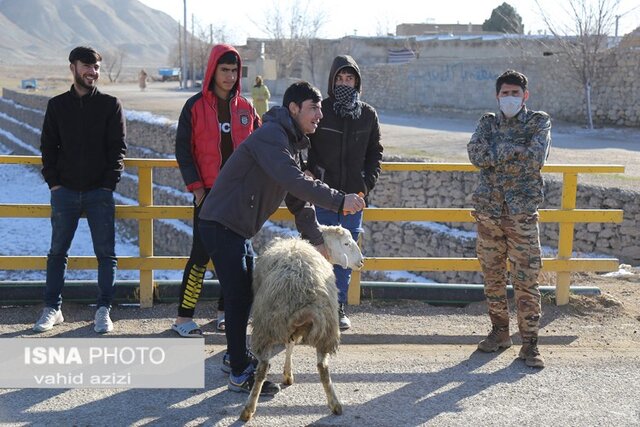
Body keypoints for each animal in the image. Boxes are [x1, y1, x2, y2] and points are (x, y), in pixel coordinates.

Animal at [239, 226, 362, 422]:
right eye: (346, 243)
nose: (362, 261)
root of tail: (305, 291)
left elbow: (289, 346)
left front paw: (287, 375)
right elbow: (290, 346)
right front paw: (288, 375)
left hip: (267, 325)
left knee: (262, 368)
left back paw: (248, 409)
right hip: (326, 330)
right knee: (323, 368)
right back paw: (335, 405)